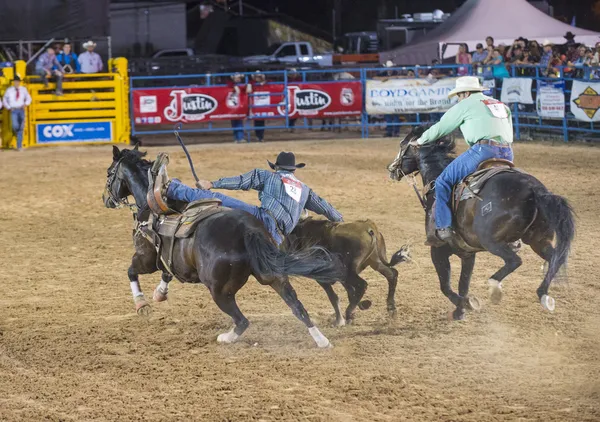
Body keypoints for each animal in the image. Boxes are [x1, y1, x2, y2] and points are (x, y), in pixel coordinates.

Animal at [103, 147, 342, 348]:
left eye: (109, 173)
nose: (106, 199)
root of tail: (248, 230)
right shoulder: (169, 260)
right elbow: (167, 273)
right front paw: (160, 293)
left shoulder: (145, 258)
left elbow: (131, 271)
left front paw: (141, 305)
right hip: (274, 277)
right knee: (298, 307)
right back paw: (322, 340)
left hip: (220, 291)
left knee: (242, 320)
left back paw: (226, 338)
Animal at [386, 128, 576, 320]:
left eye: (402, 145)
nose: (391, 169)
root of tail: (534, 189)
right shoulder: (468, 253)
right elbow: (463, 284)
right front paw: (460, 312)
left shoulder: (437, 249)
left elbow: (445, 286)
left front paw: (466, 304)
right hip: (538, 240)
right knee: (555, 258)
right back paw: (543, 295)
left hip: (491, 240)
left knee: (515, 261)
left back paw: (494, 287)